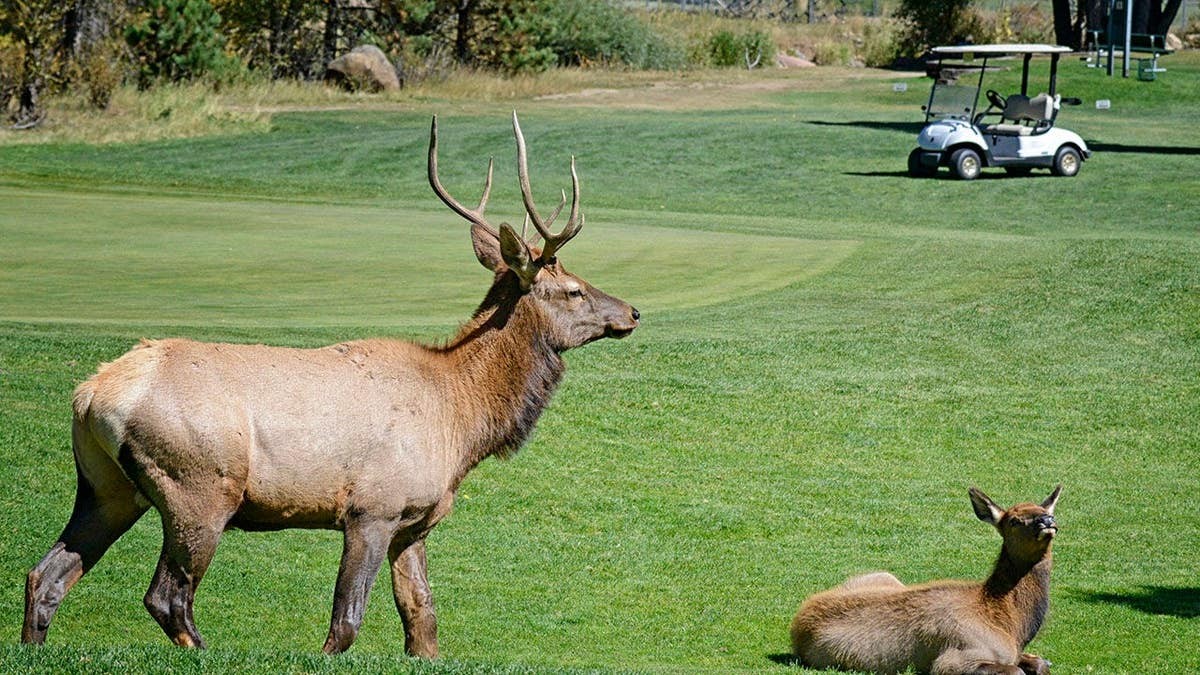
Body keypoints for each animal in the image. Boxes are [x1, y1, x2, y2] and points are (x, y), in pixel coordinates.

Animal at [21, 112, 639, 658]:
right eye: (574, 290)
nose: (632, 311)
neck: (462, 424)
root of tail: (90, 395)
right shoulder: (373, 509)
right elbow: (346, 622)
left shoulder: (415, 522)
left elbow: (423, 623)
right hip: (199, 486)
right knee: (167, 596)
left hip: (106, 488)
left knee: (44, 575)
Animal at [790, 485, 1063, 675]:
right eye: (1014, 520)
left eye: (1045, 511)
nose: (1047, 521)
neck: (1011, 625)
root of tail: (798, 621)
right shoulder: (953, 659)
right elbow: (1016, 670)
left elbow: (1040, 664)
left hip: (885, 575)